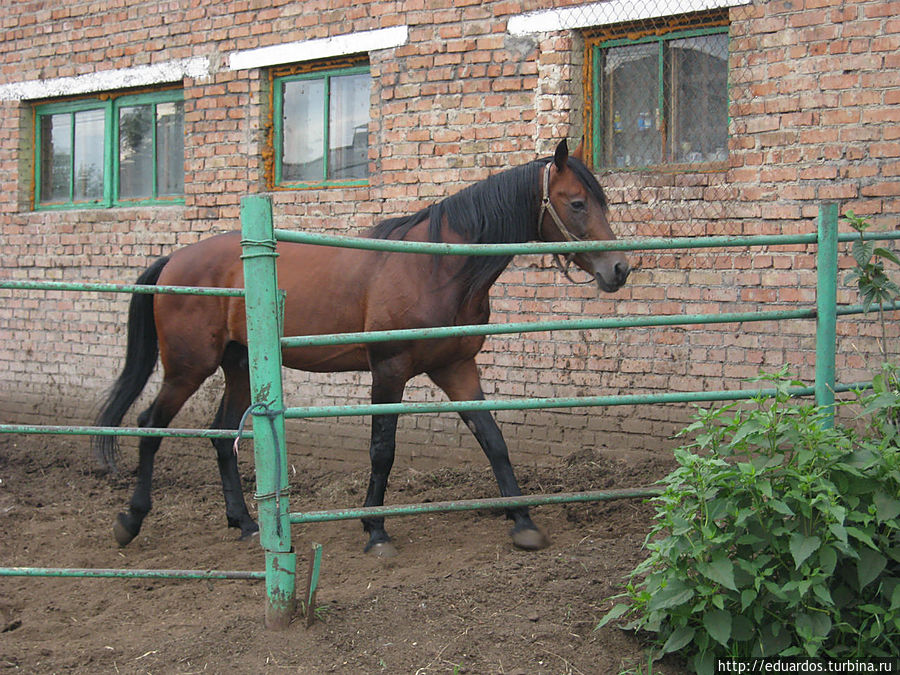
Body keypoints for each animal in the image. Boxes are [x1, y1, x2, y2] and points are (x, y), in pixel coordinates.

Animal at [91, 140, 624, 556]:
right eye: (577, 203)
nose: (619, 269)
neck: (435, 268)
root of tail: (174, 260)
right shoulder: (389, 371)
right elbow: (382, 450)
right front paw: (375, 529)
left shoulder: (456, 369)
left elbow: (493, 440)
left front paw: (524, 522)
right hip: (188, 367)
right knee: (150, 426)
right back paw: (130, 521)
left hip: (241, 366)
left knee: (223, 437)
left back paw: (244, 524)